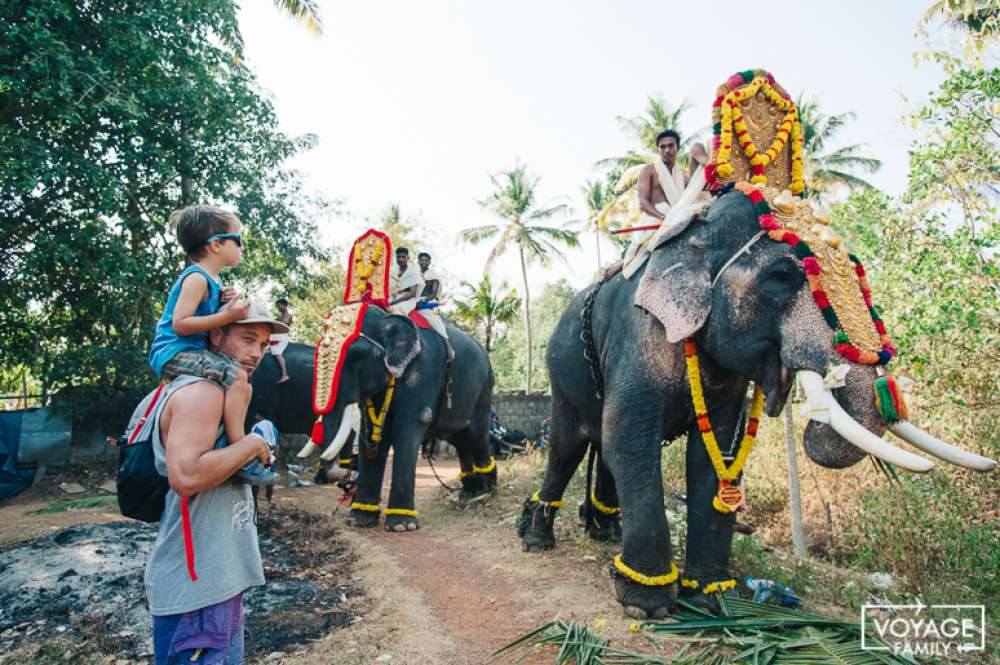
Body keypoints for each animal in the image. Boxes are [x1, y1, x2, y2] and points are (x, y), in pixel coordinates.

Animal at [516, 70, 992, 620]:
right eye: (783, 276)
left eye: (858, 273)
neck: (698, 228)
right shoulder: (642, 334)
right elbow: (632, 438)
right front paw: (648, 605)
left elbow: (715, 452)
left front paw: (712, 598)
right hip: (561, 369)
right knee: (570, 443)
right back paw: (536, 538)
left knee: (600, 444)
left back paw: (605, 532)